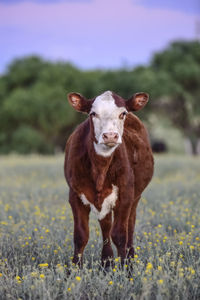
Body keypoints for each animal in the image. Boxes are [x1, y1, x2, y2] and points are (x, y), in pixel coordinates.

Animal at [64, 90, 153, 266]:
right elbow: (80, 235)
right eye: (93, 113)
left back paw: (129, 259)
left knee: (130, 226)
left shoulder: (126, 196)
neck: (100, 168)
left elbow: (120, 235)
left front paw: (126, 268)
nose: (110, 136)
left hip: (136, 197)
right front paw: (74, 269)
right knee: (105, 226)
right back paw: (107, 261)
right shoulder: (75, 195)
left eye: (122, 113)